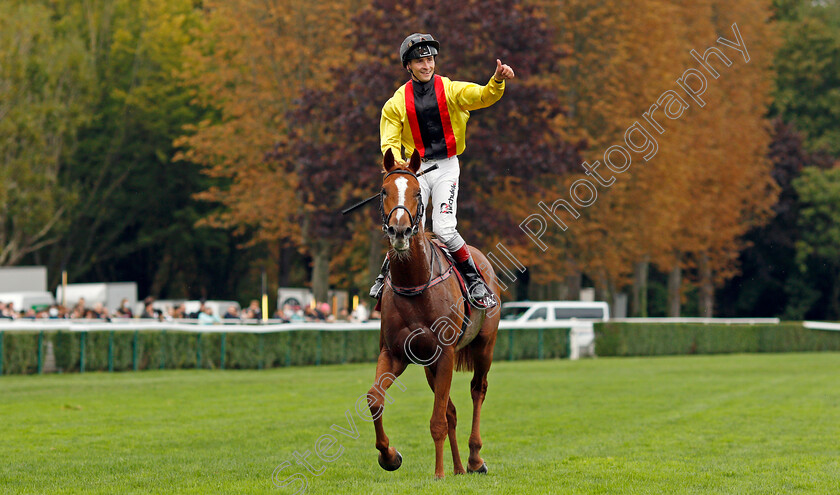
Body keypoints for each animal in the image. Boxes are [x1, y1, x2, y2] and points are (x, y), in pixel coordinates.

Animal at [366, 149, 498, 478]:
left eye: (417, 192)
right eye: (384, 191)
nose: (400, 230)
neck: (414, 281)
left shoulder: (446, 353)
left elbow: (437, 418)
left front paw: (438, 474)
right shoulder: (394, 353)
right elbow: (375, 399)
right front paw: (389, 456)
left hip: (484, 346)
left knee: (478, 390)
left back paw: (474, 459)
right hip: (429, 365)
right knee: (451, 409)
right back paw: (459, 468)